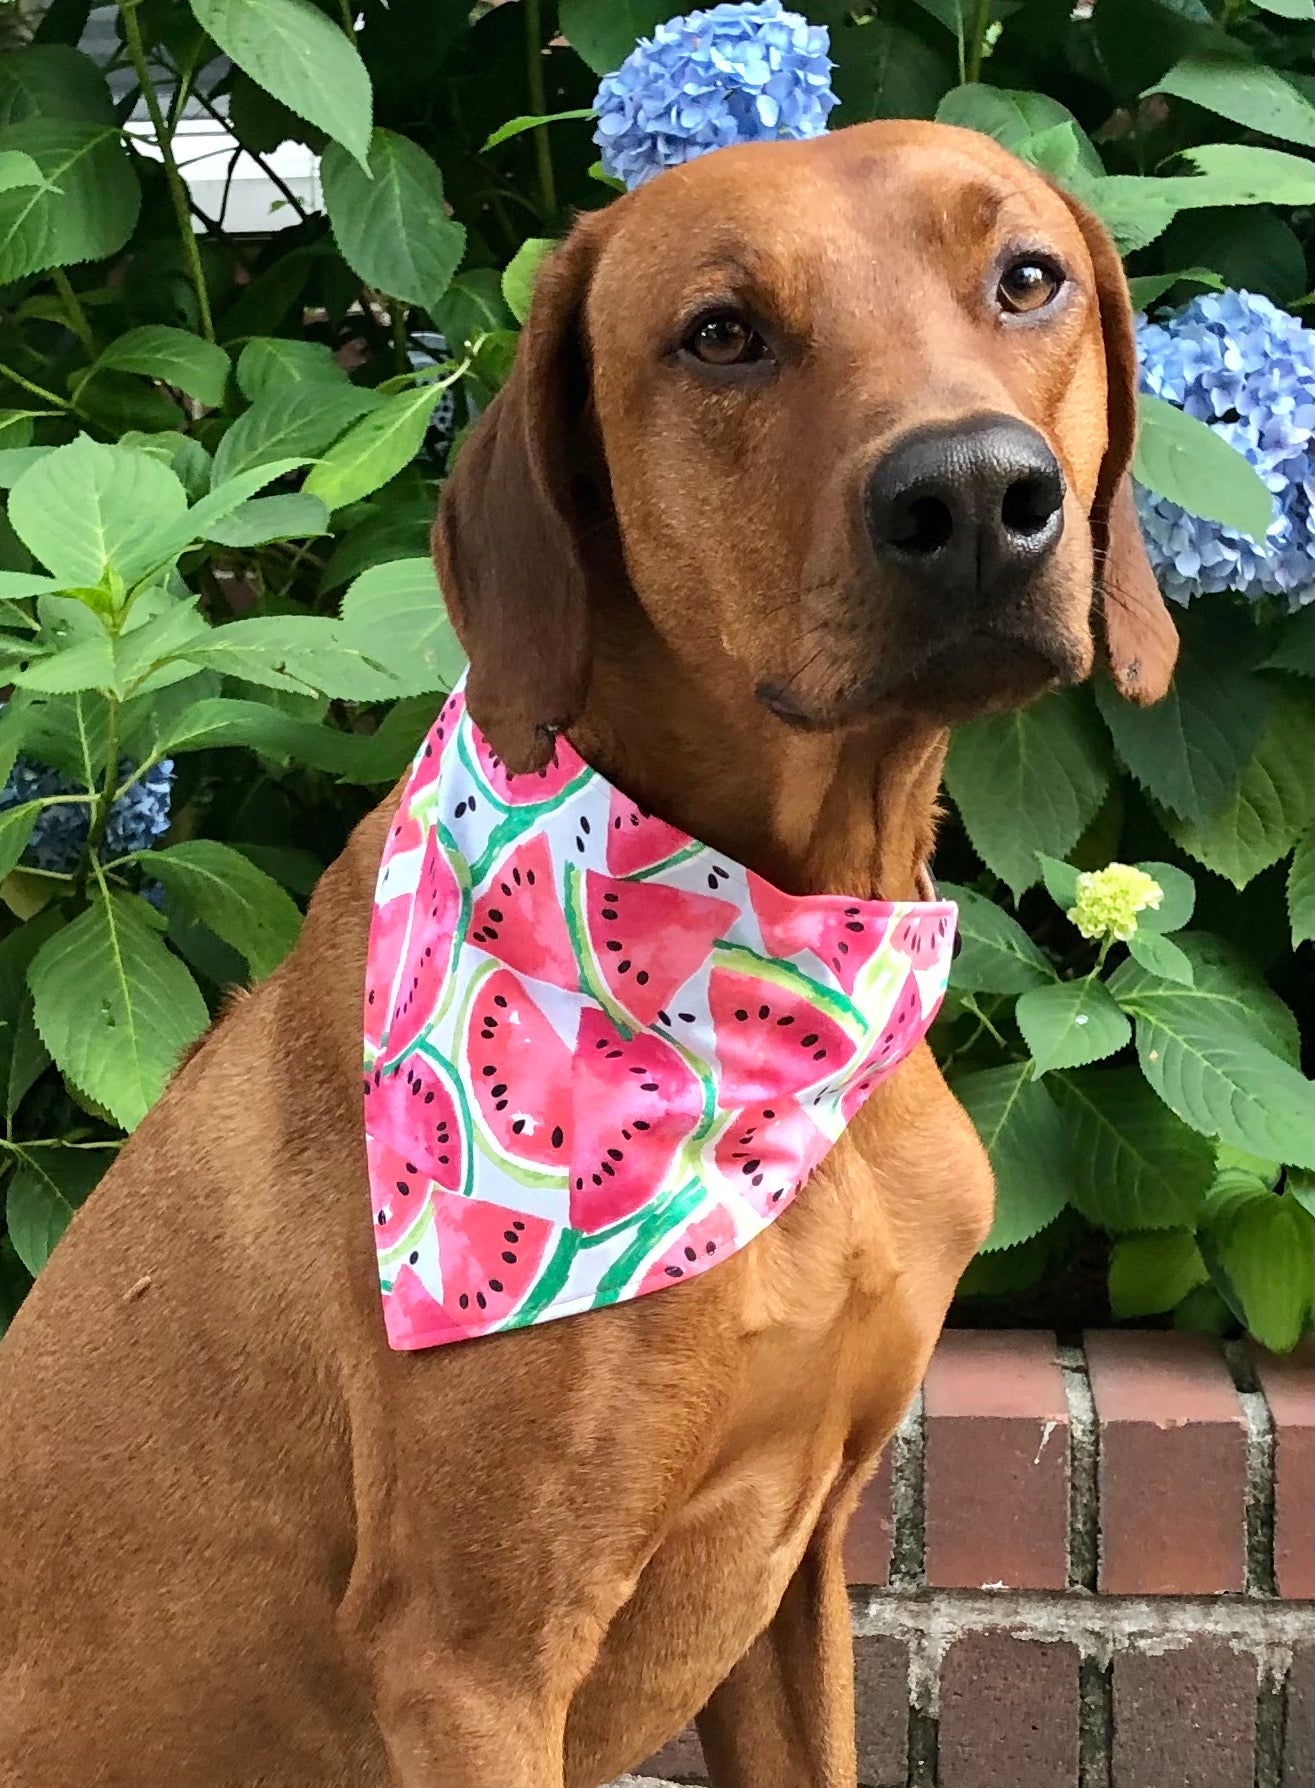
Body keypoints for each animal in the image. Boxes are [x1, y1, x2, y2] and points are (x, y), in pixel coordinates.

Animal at [0, 118, 1173, 1780]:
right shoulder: (470, 1664)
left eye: (1025, 278)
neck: (786, 945)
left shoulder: (795, 1575)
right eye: (720, 334)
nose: (969, 494)